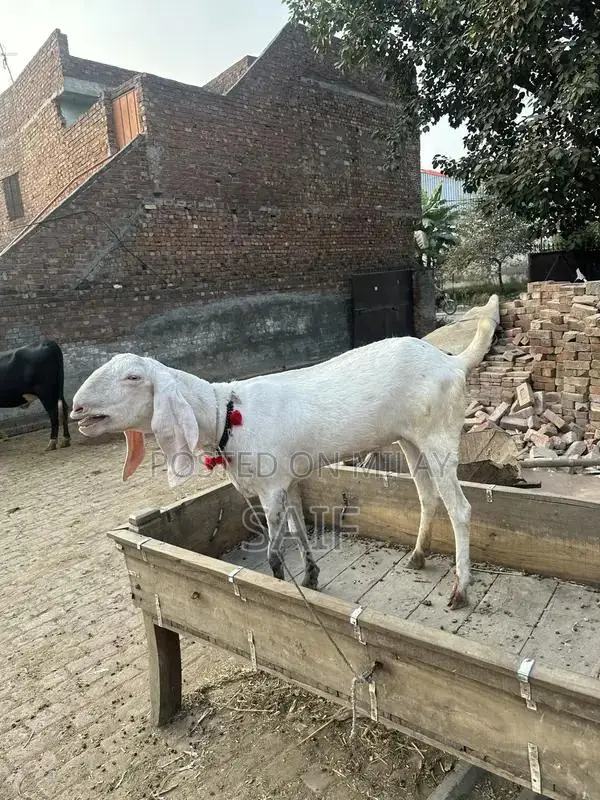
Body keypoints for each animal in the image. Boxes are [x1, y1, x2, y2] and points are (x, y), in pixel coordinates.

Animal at [70, 317, 494, 608]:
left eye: (133, 376)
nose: (77, 408)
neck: (224, 414)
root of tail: (453, 364)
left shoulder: (271, 485)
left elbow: (275, 549)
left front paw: (280, 583)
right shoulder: (288, 480)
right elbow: (299, 529)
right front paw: (311, 575)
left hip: (440, 436)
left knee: (461, 508)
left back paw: (461, 589)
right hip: (410, 438)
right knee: (427, 496)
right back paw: (419, 556)